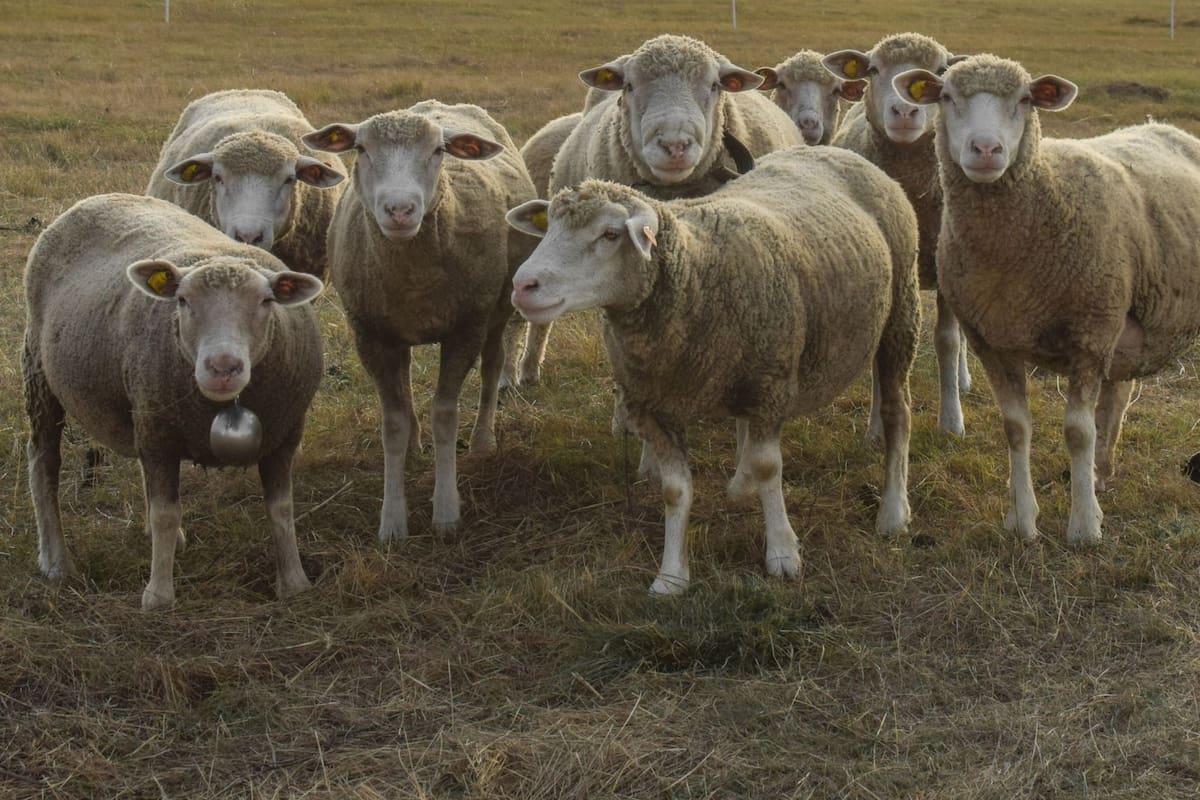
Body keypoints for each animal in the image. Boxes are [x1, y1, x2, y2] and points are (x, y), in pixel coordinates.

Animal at [23, 193, 325, 610]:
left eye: (267, 301)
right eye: (182, 300)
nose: (222, 366)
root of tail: (99, 196)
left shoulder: (284, 434)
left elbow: (281, 508)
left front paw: (295, 583)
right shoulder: (160, 435)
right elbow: (166, 513)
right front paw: (159, 596)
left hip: (141, 406)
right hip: (41, 373)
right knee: (44, 463)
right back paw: (55, 559)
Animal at [302, 100, 536, 542]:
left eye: (438, 151)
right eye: (360, 149)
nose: (399, 210)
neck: (413, 282)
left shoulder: (465, 329)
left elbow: (445, 415)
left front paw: (446, 512)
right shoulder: (370, 334)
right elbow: (391, 423)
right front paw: (392, 521)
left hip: (494, 310)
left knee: (493, 366)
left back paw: (483, 440)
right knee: (407, 377)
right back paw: (414, 444)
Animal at [506, 144, 920, 593]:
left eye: (610, 234)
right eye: (549, 227)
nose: (522, 286)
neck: (696, 269)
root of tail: (831, 149)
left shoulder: (769, 386)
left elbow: (769, 467)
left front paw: (782, 553)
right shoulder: (653, 406)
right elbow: (675, 491)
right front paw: (671, 576)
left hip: (900, 311)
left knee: (898, 412)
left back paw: (893, 512)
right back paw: (741, 484)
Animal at [824, 33, 971, 438]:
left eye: (940, 71)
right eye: (873, 70)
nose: (904, 111)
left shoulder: (945, 263)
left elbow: (948, 341)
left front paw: (951, 420)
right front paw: (876, 428)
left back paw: (963, 378)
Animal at [892, 54, 1200, 544]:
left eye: (1024, 100)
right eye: (946, 97)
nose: (986, 150)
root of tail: (1165, 127)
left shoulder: (1089, 334)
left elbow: (1077, 432)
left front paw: (1084, 526)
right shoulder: (992, 340)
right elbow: (1016, 428)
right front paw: (1022, 519)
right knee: (1118, 394)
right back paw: (1100, 473)